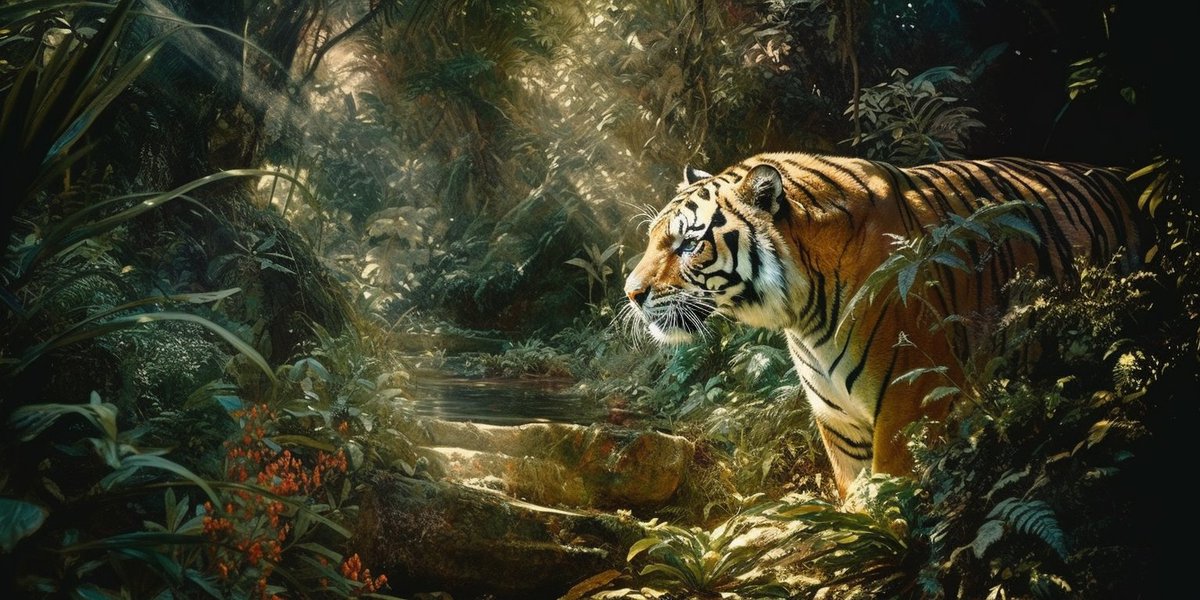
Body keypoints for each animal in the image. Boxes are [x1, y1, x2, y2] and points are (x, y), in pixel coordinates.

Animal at [622, 152, 1142, 497]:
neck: (802, 312)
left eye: (690, 245)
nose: (631, 294)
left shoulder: (911, 400)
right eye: (652, 239)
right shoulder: (836, 420)